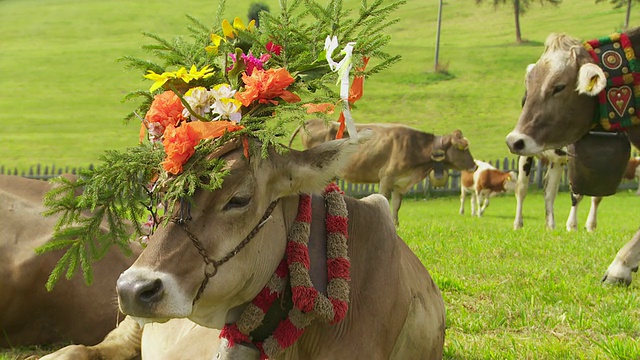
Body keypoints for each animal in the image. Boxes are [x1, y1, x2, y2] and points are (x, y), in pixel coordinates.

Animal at [288, 119, 476, 224]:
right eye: (462, 148)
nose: (474, 166)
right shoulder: (386, 177)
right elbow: (384, 198)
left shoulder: (400, 183)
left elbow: (397, 205)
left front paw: (396, 224)